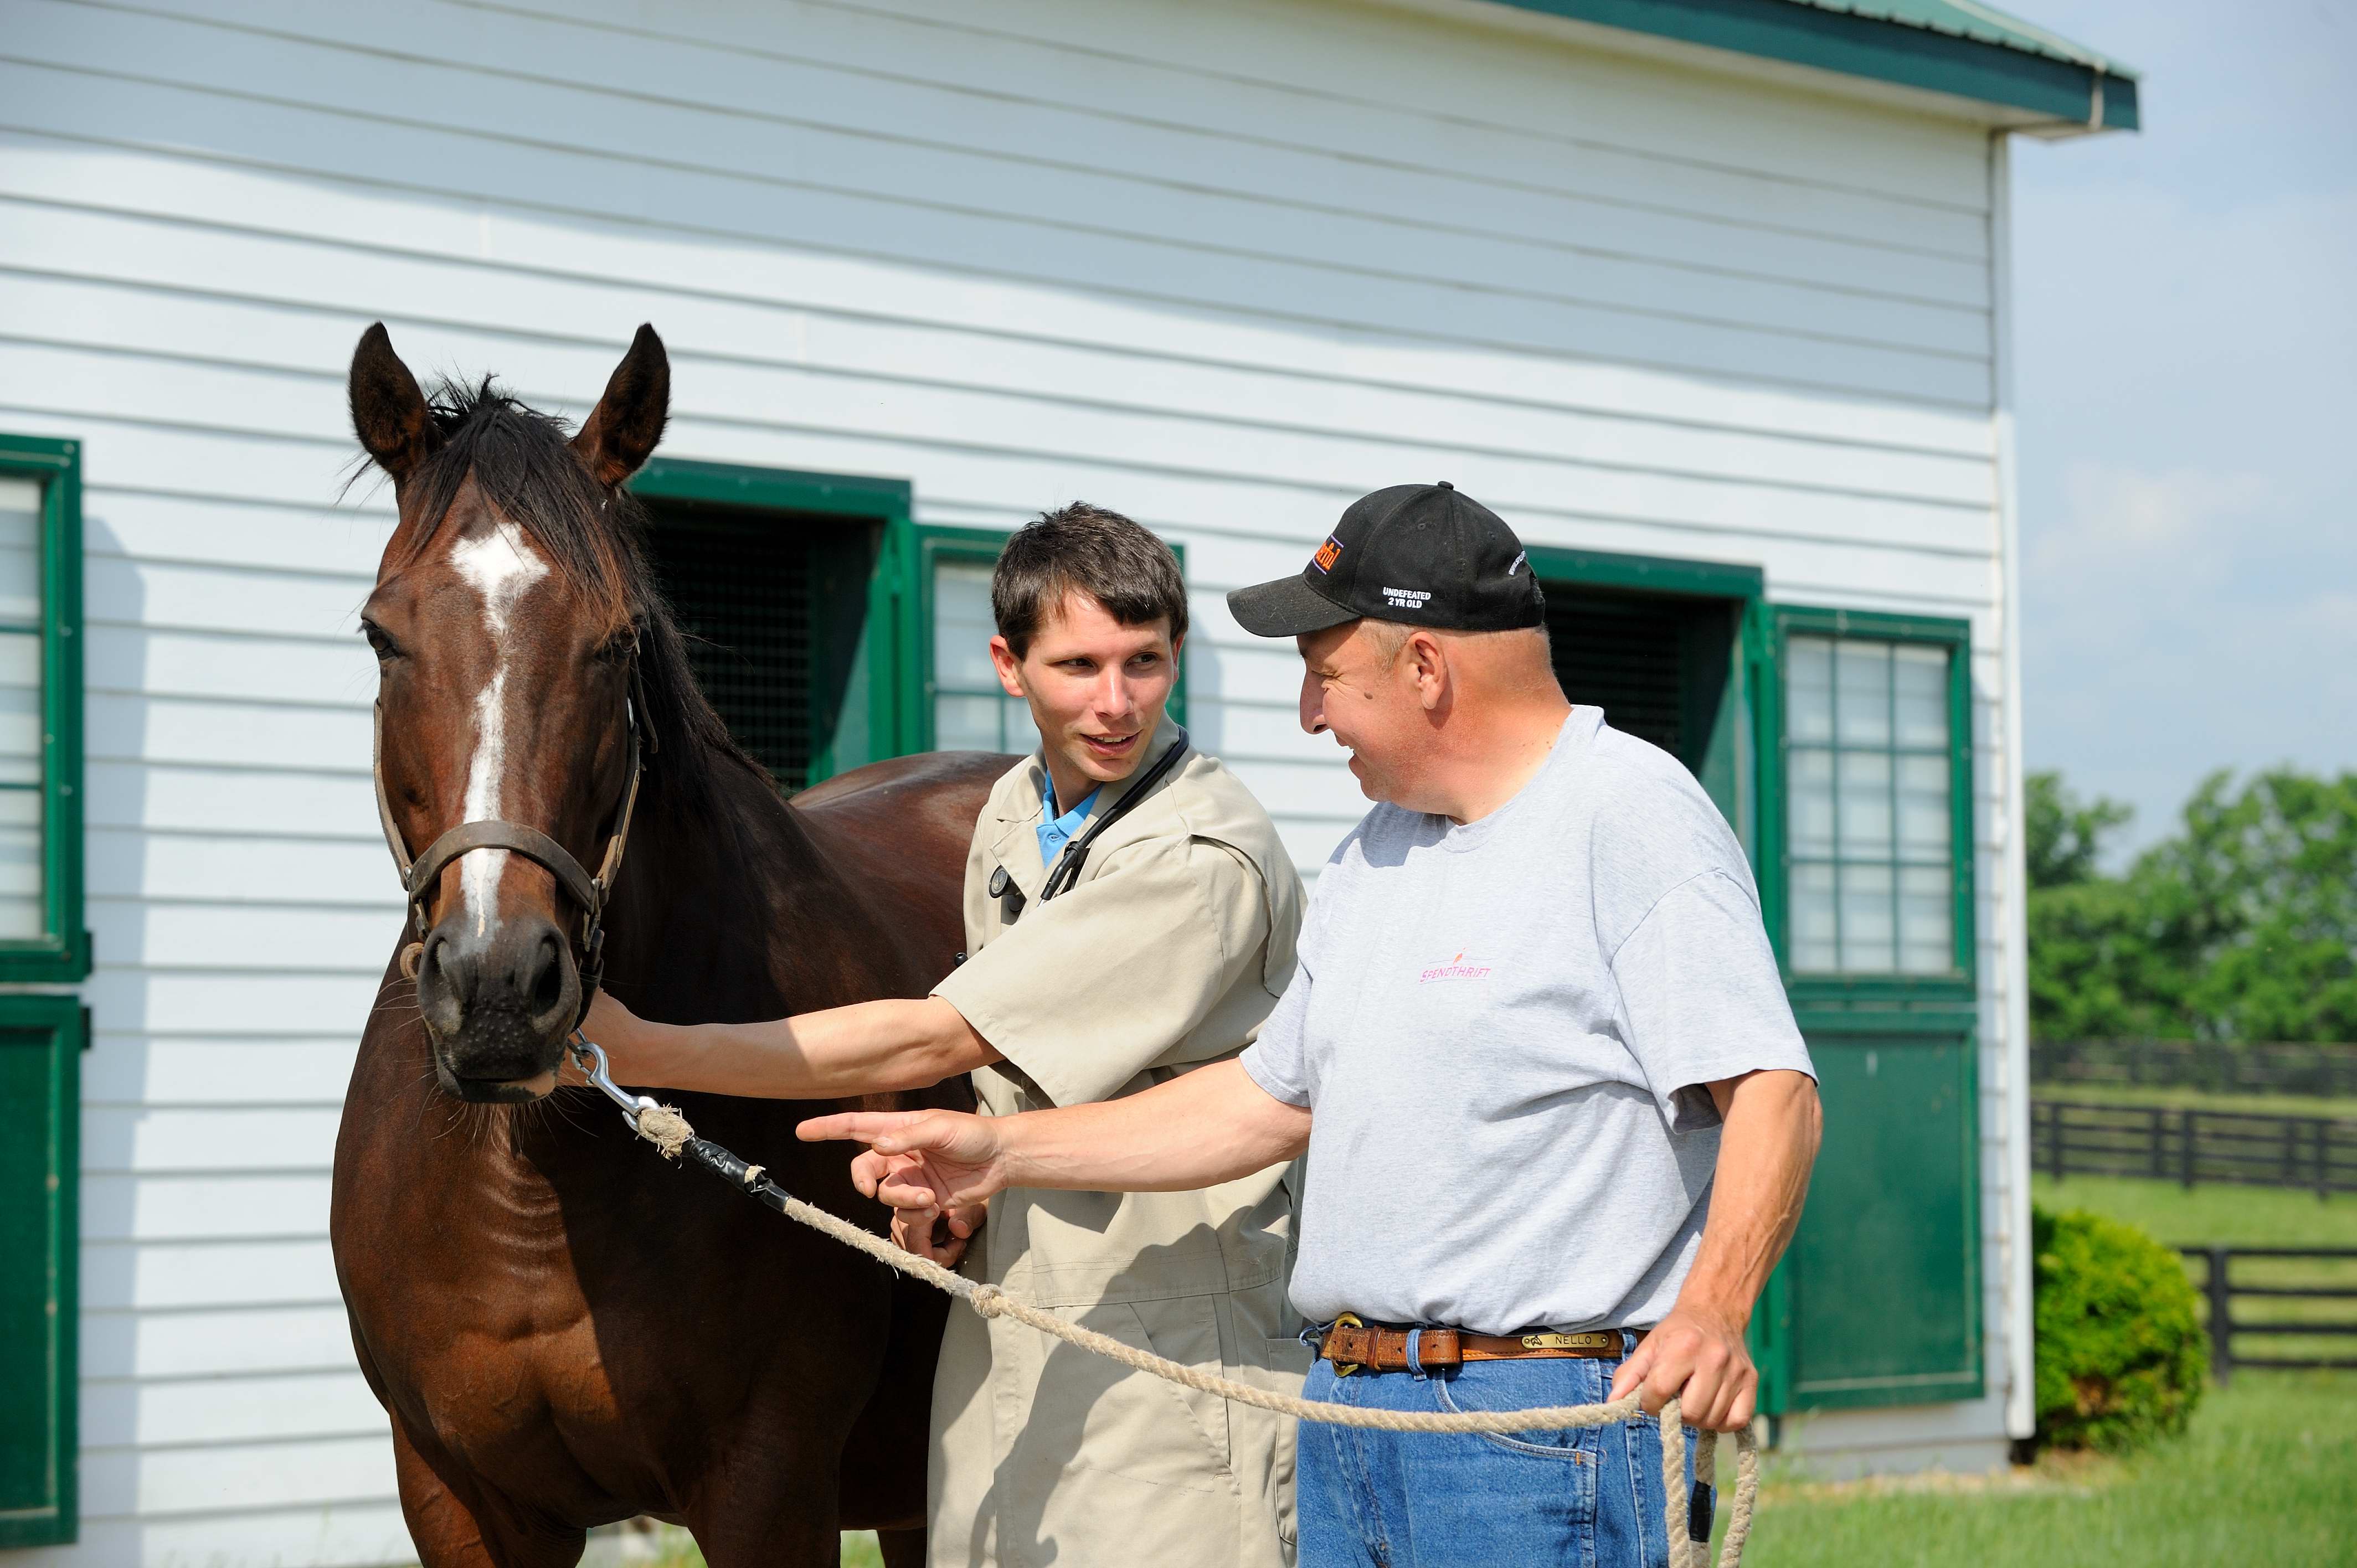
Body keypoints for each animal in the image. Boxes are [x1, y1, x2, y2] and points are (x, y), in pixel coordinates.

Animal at [332, 321, 995, 1565]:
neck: (531, 1178)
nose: (500, 989)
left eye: (618, 640)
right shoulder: (454, 1494)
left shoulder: (767, 1489)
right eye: (381, 634)